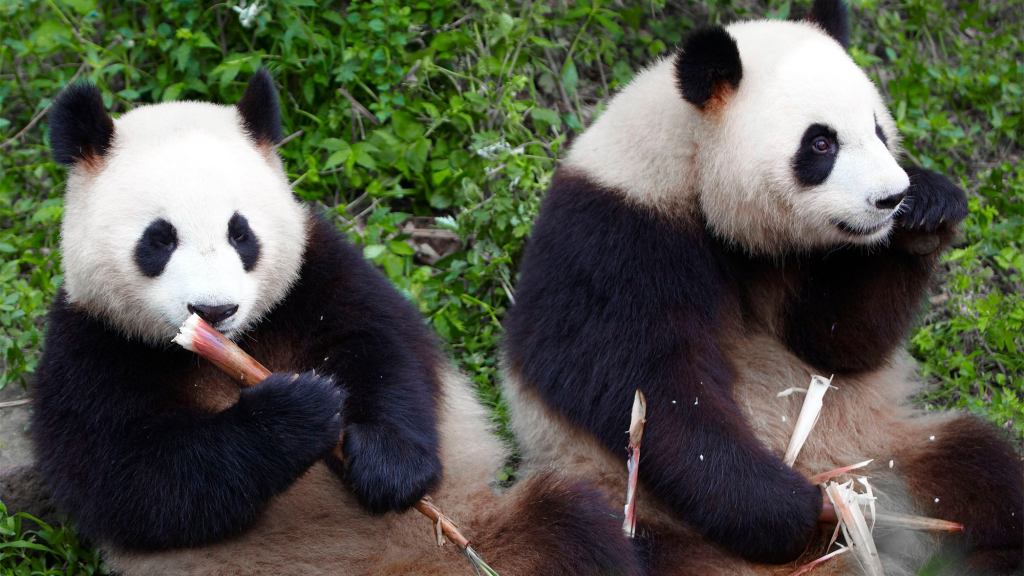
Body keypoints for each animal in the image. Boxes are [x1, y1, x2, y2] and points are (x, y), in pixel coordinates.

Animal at [32, 71, 638, 573]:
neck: (233, 347)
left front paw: (385, 463)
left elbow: (384, 350)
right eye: (158, 240)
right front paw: (295, 412)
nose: (214, 310)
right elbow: (136, 479)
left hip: (501, 530)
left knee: (578, 529)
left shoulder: (316, 274)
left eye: (240, 232)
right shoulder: (93, 345)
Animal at [499, 2, 1019, 569]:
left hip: (887, 451)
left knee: (981, 467)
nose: (889, 198)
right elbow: (648, 393)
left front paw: (929, 209)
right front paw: (791, 509)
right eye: (821, 143)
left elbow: (837, 346)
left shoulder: (796, 261)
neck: (692, 170)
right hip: (637, 516)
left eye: (879, 131)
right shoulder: (615, 238)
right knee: (584, 538)